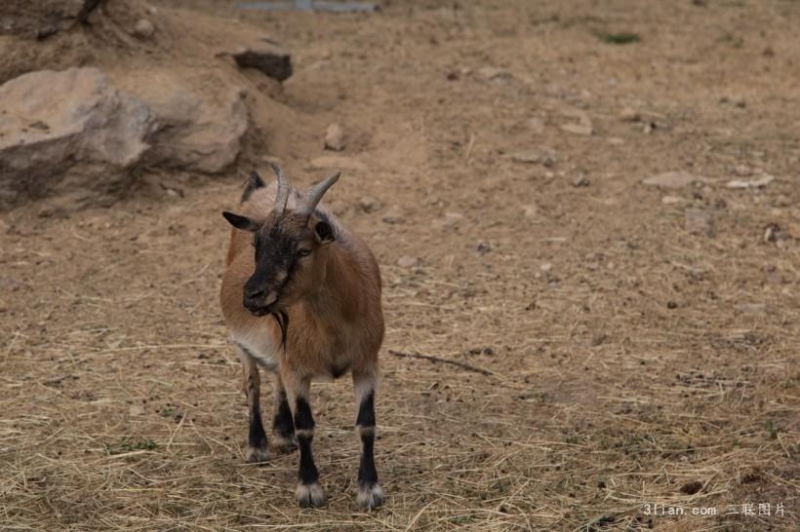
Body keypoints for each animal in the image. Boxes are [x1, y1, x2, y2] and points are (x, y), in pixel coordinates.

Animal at [217, 163, 382, 512]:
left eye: (304, 250)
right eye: (256, 245)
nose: (252, 295)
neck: (334, 328)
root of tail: (259, 189)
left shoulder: (366, 364)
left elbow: (366, 423)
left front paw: (369, 489)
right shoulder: (297, 370)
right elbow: (306, 425)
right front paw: (309, 489)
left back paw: (283, 434)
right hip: (243, 345)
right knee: (252, 385)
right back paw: (258, 446)